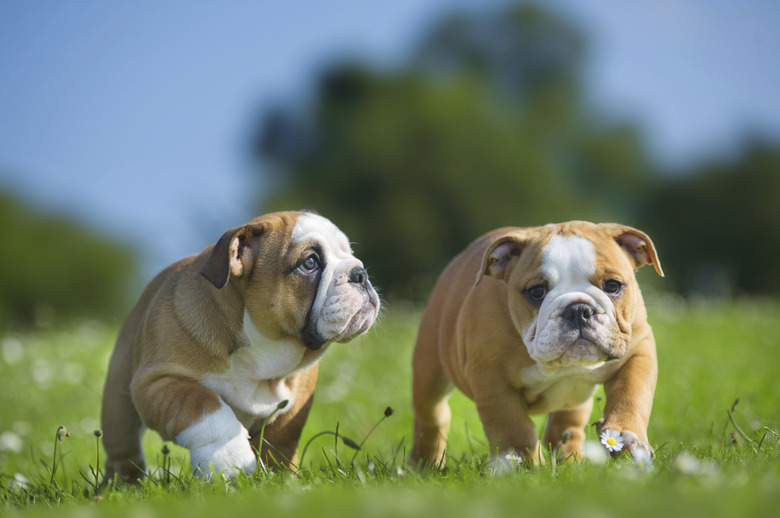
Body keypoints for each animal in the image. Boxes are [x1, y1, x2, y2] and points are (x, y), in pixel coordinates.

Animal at [100, 210, 380, 484]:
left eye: (350, 254)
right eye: (309, 263)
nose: (360, 273)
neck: (261, 353)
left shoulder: (298, 399)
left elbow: (282, 439)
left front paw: (280, 479)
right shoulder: (157, 382)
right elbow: (202, 403)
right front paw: (230, 460)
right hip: (119, 406)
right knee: (124, 452)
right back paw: (123, 486)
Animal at [412, 221, 660, 470]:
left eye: (612, 286)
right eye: (537, 291)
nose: (578, 310)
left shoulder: (638, 350)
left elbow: (632, 393)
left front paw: (627, 436)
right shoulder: (491, 379)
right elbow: (513, 426)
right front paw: (525, 465)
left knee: (567, 425)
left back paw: (572, 461)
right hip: (429, 372)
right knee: (432, 418)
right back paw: (424, 465)